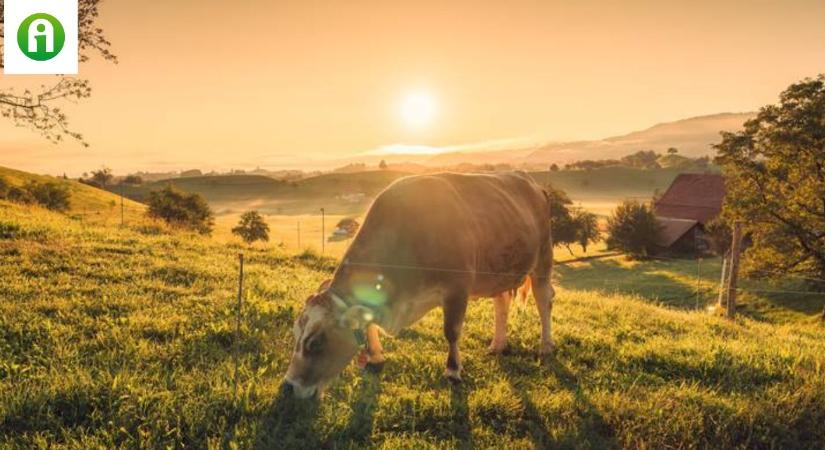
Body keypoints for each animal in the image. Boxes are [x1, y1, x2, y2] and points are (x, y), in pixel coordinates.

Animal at [284, 171, 552, 398]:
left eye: (315, 342)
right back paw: (497, 344)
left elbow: (451, 331)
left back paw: (546, 346)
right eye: (295, 334)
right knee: (502, 302)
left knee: (544, 300)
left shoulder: (457, 287)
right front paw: (375, 356)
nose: (288, 387)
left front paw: (453, 370)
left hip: (543, 256)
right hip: (500, 270)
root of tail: (532, 183)